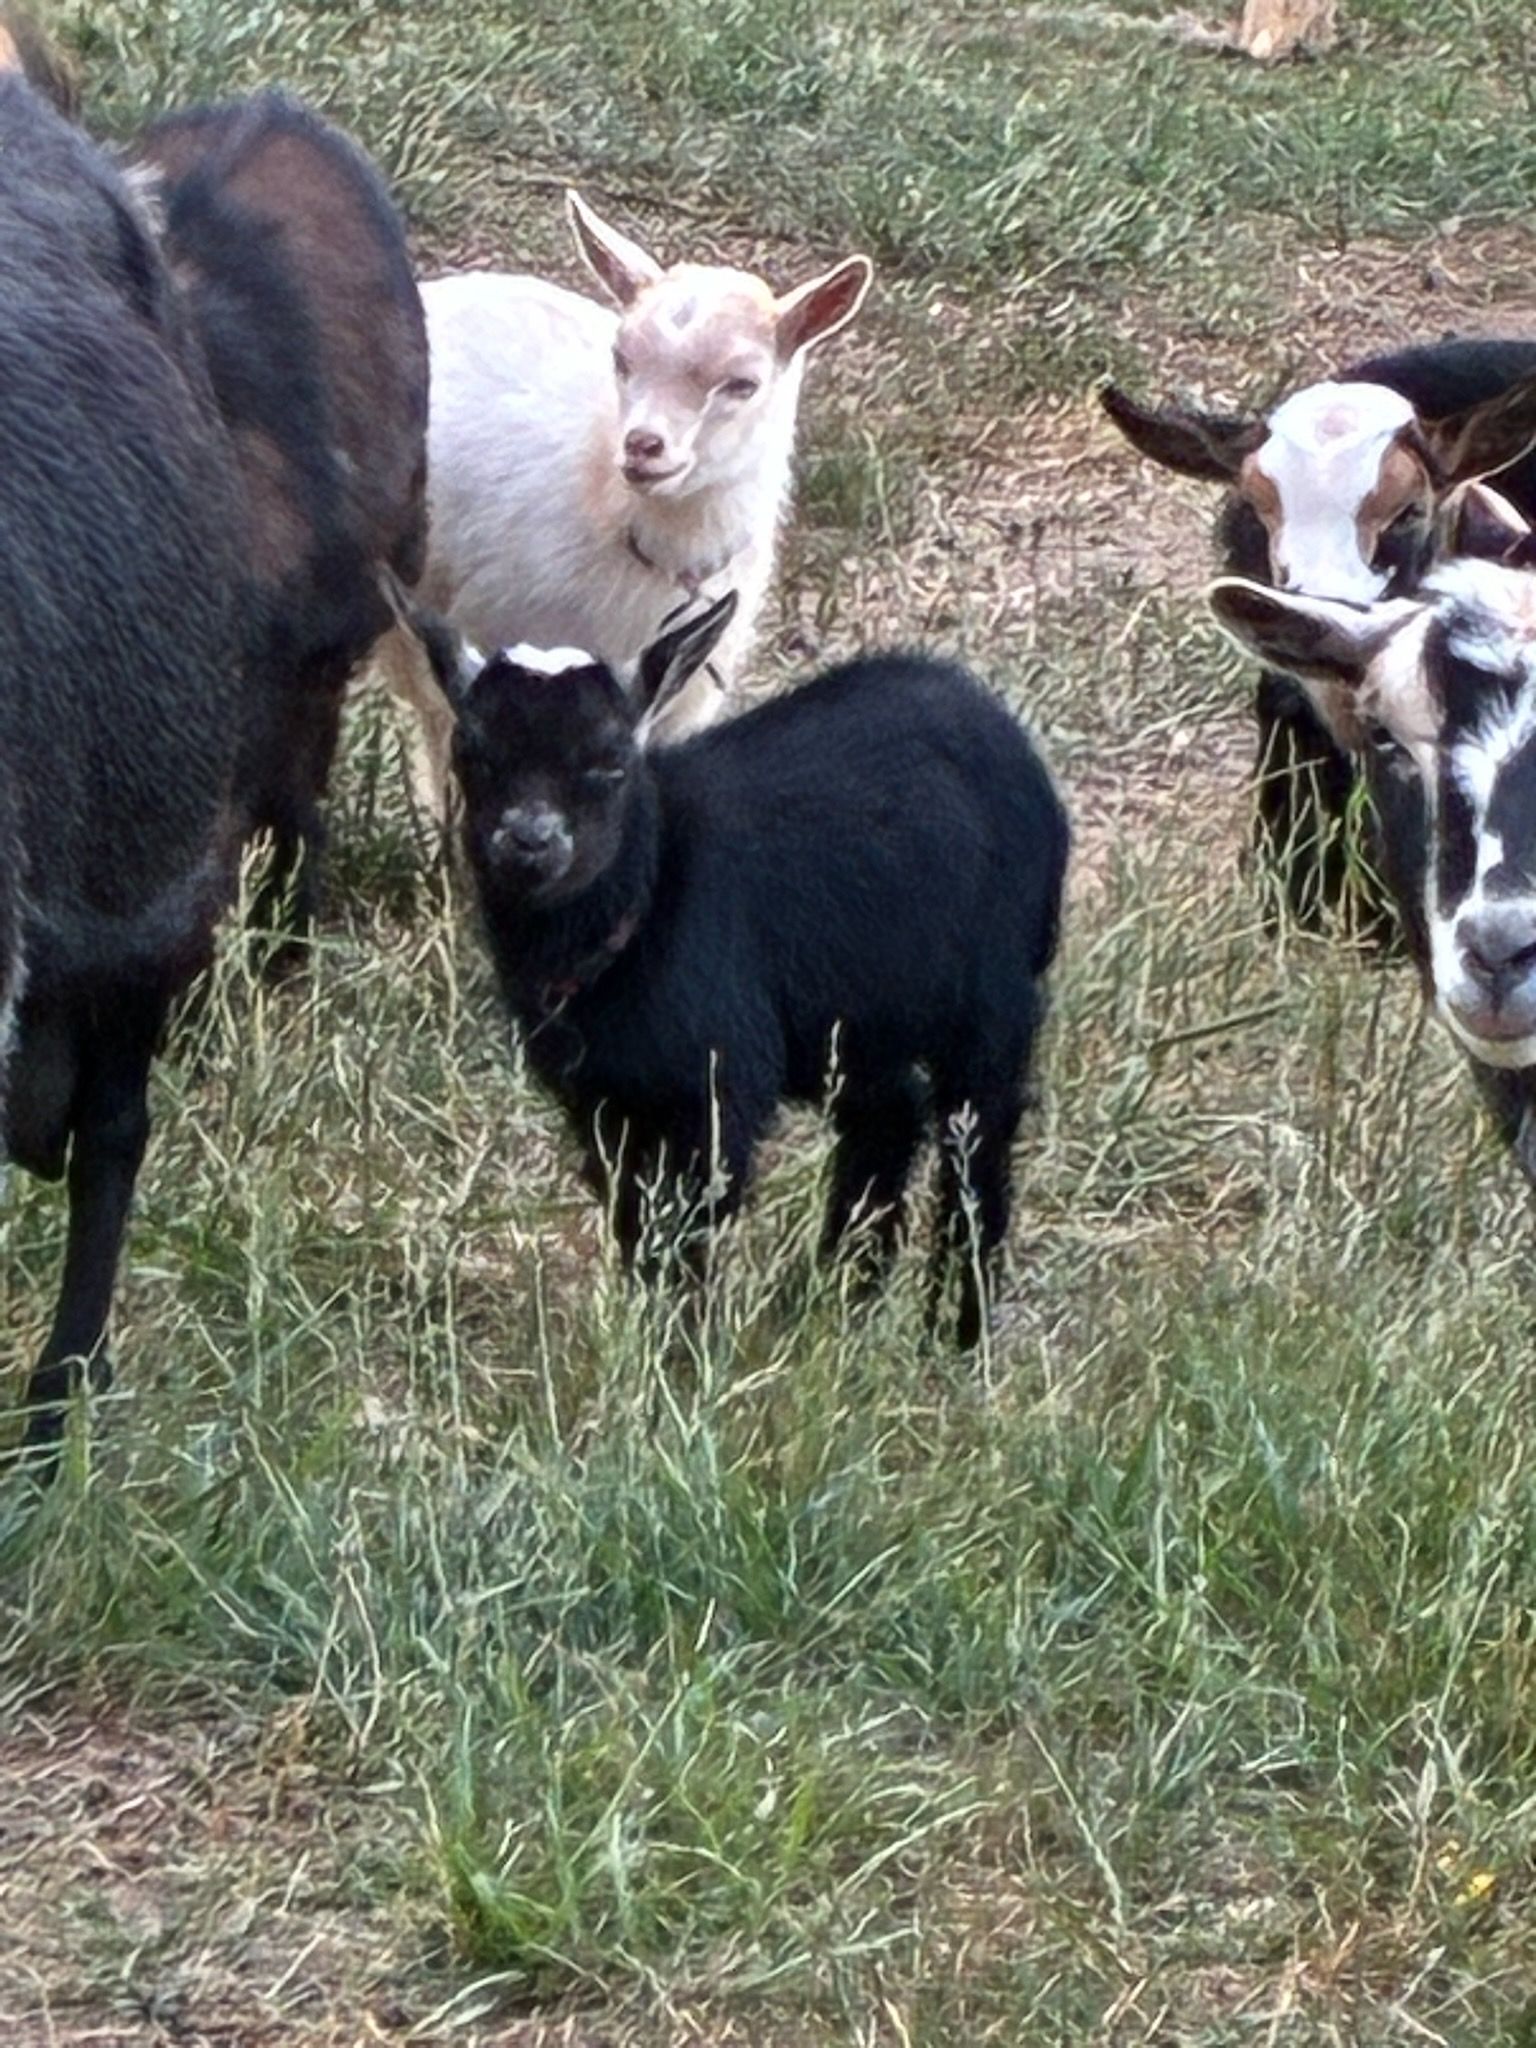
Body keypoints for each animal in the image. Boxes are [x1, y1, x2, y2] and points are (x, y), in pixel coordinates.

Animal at [416, 594, 1068, 1346]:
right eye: (472, 752)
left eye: (611, 761)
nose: (528, 840)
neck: (648, 896)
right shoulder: (601, 1099)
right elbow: (633, 1217)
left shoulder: (719, 1083)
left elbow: (685, 1222)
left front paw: (676, 1350)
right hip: (846, 1024)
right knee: (892, 1114)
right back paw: (834, 1301)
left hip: (994, 1001)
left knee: (978, 1147)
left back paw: (954, 1335)